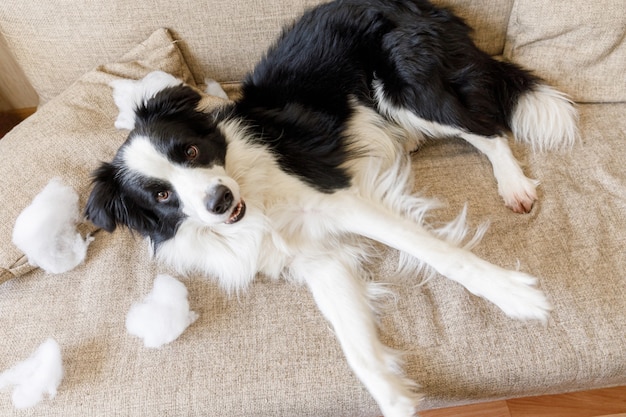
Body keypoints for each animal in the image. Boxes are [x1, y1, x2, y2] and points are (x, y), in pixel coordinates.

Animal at [84, 1, 576, 414]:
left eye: (188, 150)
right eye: (161, 196)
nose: (219, 201)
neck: (252, 198)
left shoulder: (339, 200)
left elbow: (440, 254)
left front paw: (514, 295)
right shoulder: (315, 259)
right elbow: (353, 343)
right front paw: (396, 398)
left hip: (409, 88)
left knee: (487, 129)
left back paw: (512, 183)